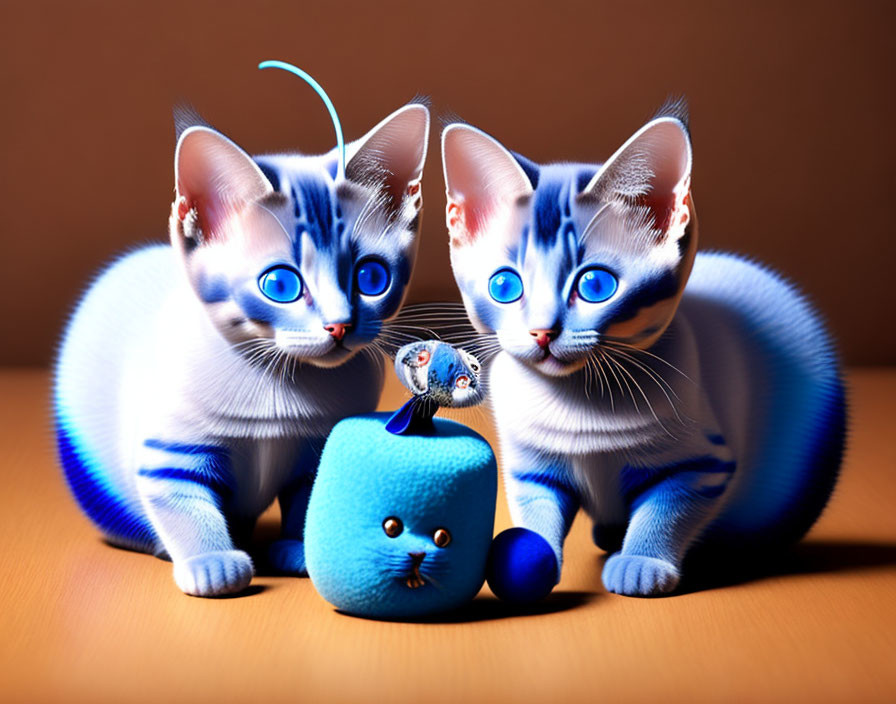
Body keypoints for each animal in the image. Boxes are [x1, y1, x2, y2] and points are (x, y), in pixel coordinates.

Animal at [55, 99, 430, 596]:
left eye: (371, 277)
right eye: (280, 285)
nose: (339, 326)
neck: (278, 382)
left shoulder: (317, 450)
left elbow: (307, 501)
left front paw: (297, 548)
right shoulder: (170, 452)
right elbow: (184, 505)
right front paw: (211, 562)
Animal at [440, 103, 848, 600]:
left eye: (596, 285)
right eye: (504, 286)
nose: (541, 331)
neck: (576, 403)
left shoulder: (702, 465)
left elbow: (664, 512)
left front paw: (641, 562)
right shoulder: (528, 466)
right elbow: (536, 510)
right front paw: (531, 554)